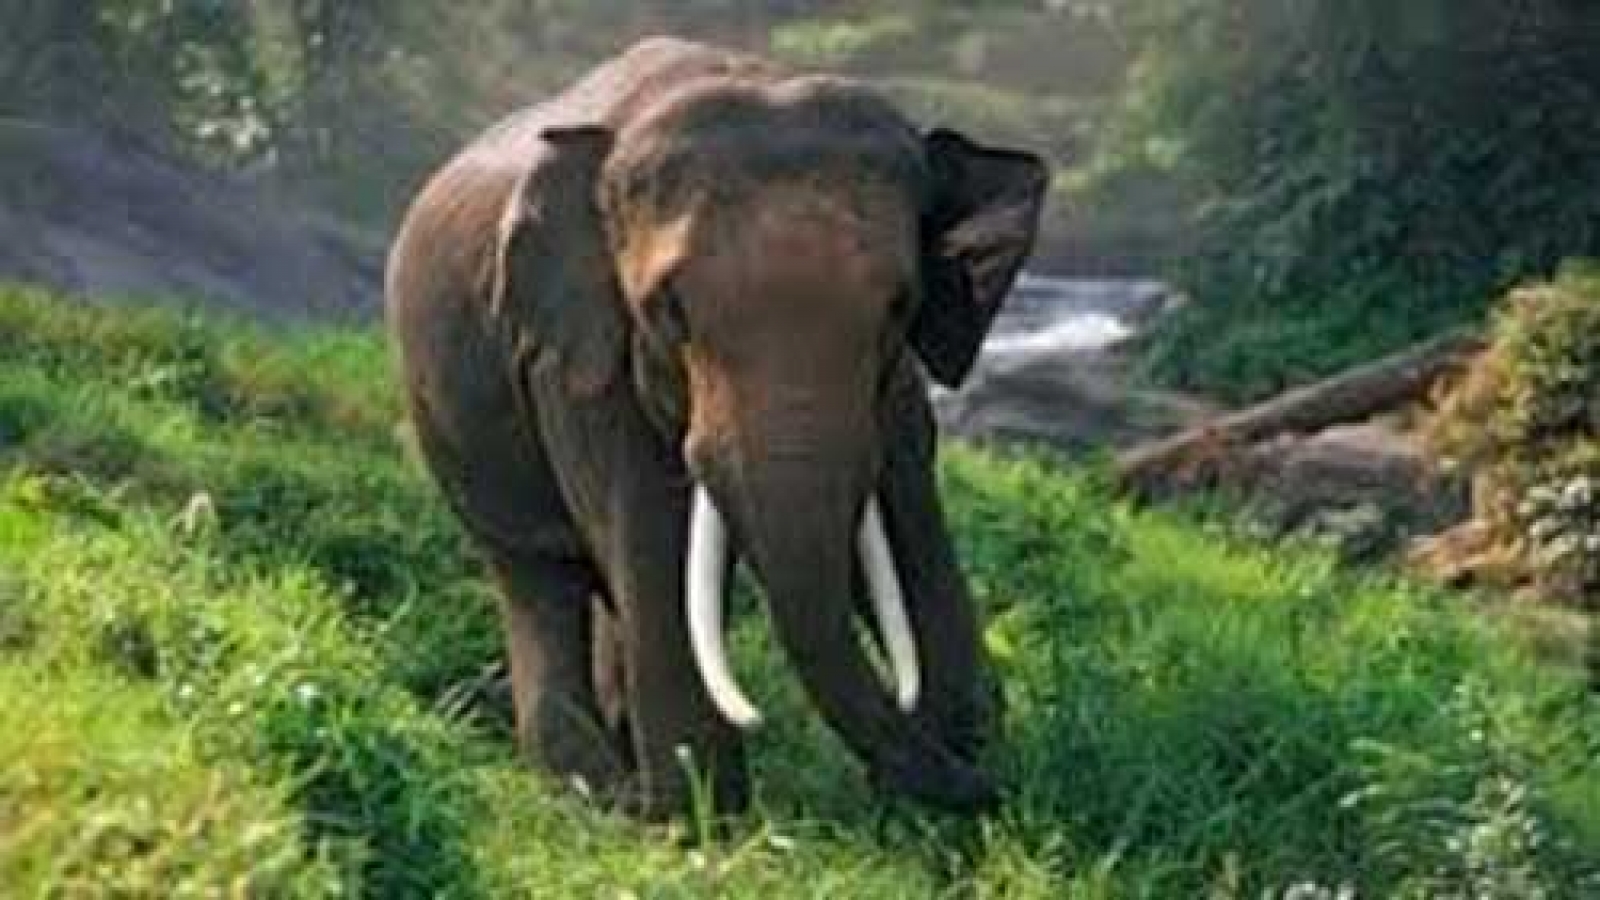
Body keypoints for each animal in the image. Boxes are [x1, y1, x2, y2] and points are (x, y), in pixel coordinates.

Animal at [385, 37, 1046, 818]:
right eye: (669, 309)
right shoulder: (581, 361)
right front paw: (700, 817)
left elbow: (904, 517)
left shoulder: (898, 392)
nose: (987, 785)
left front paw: (965, 757)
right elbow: (654, 537)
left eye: (898, 306)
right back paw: (596, 788)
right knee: (537, 577)